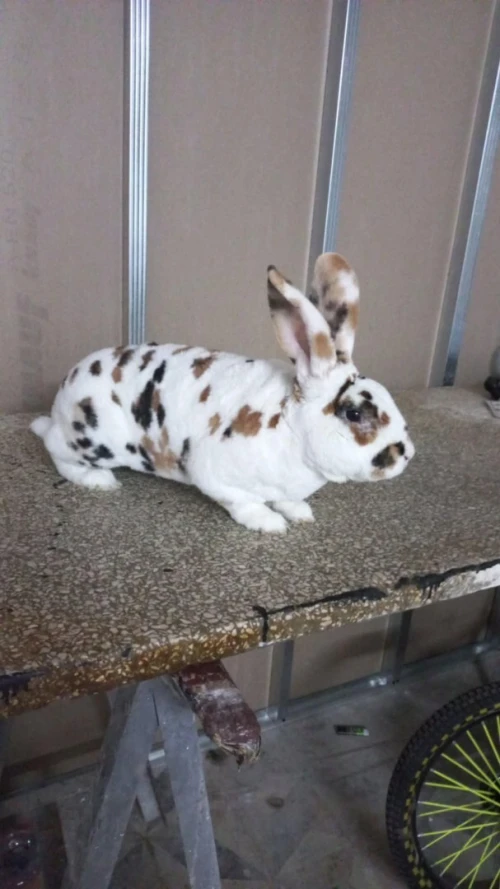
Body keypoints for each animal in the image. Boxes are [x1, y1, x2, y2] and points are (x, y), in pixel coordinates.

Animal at [31, 253, 415, 533]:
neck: (290, 428)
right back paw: (99, 480)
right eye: (354, 413)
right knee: (56, 449)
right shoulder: (213, 474)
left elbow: (288, 501)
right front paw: (270, 524)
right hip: (95, 440)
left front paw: (301, 513)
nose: (407, 453)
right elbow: (244, 503)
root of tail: (61, 399)